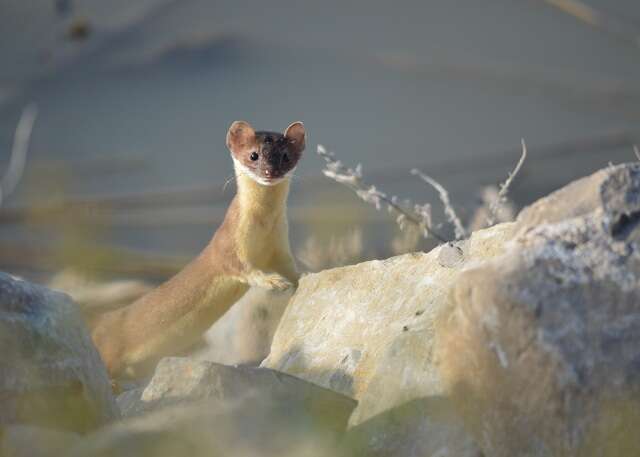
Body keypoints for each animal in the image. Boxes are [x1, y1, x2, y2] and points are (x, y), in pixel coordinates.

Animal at [90, 118, 308, 378]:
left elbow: (290, 267)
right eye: (253, 155)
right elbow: (240, 267)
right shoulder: (229, 243)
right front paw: (273, 281)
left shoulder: (280, 245)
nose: (270, 172)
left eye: (285, 156)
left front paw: (302, 276)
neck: (264, 229)